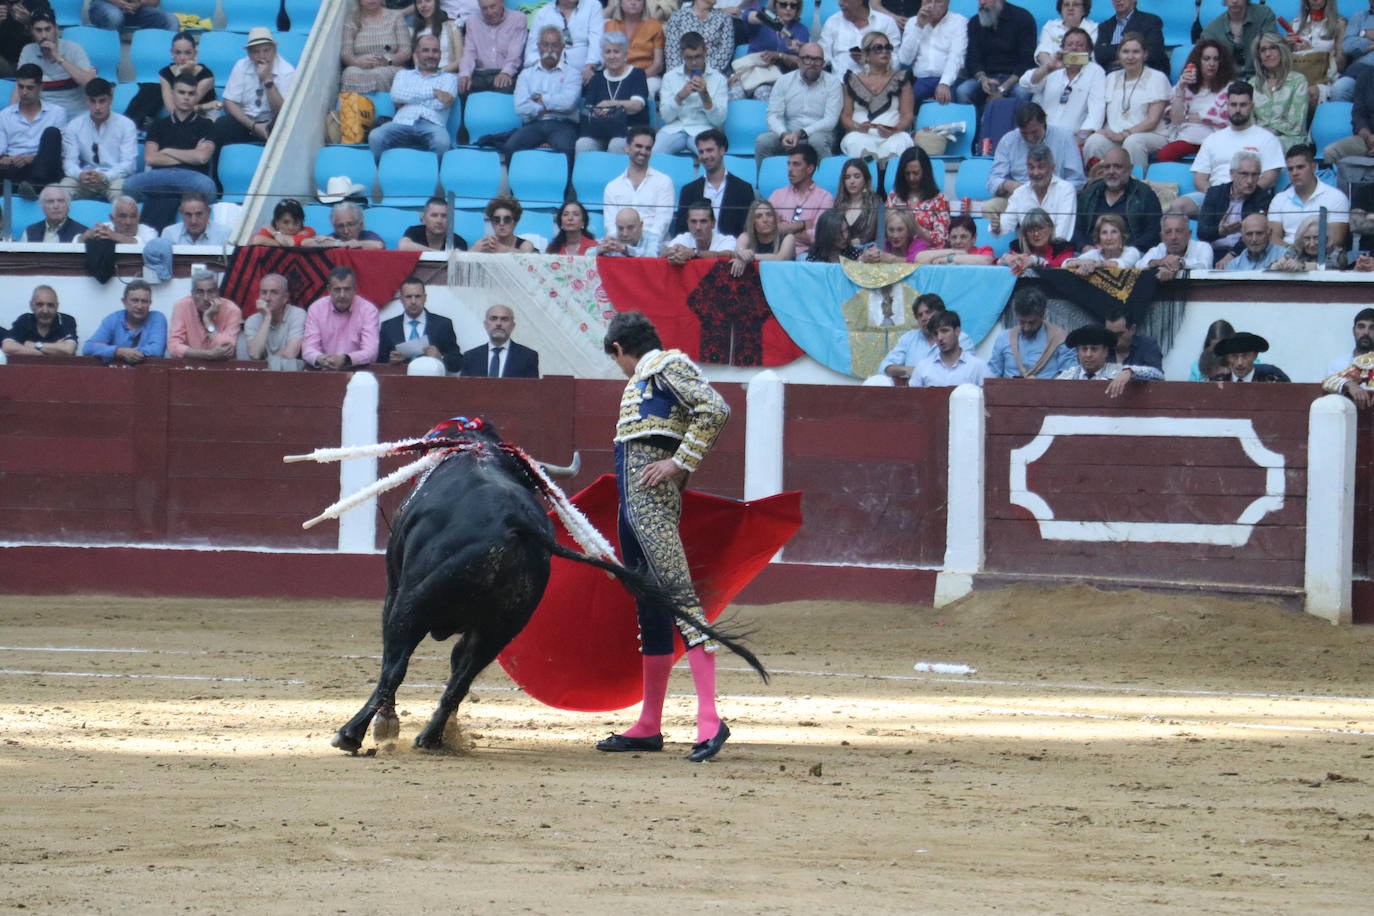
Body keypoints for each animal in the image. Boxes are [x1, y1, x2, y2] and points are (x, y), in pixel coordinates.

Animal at [328, 431, 769, 752]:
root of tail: (513, 522)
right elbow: (455, 669)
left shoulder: (394, 589)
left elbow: (395, 665)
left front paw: (380, 727)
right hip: (503, 626)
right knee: (461, 677)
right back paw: (433, 737)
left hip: (413, 605)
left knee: (396, 665)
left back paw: (354, 733)